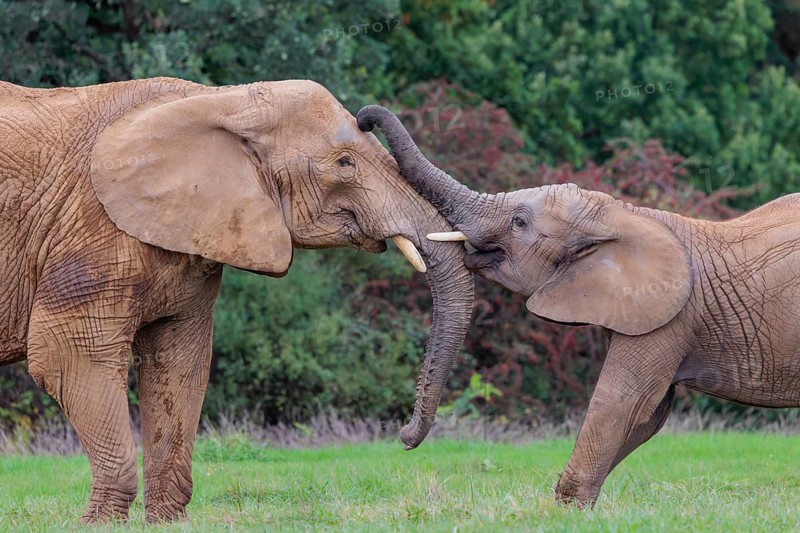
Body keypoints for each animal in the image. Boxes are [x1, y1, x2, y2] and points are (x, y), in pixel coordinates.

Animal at [0, 79, 473, 523]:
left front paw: (166, 522)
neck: (219, 100)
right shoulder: (93, 227)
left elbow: (179, 362)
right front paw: (100, 524)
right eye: (344, 163)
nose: (402, 434)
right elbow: (66, 351)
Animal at [358, 104, 800, 507]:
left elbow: (622, 401)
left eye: (519, 222)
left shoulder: (670, 318)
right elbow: (648, 416)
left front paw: (565, 509)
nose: (402, 436)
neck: (624, 214)